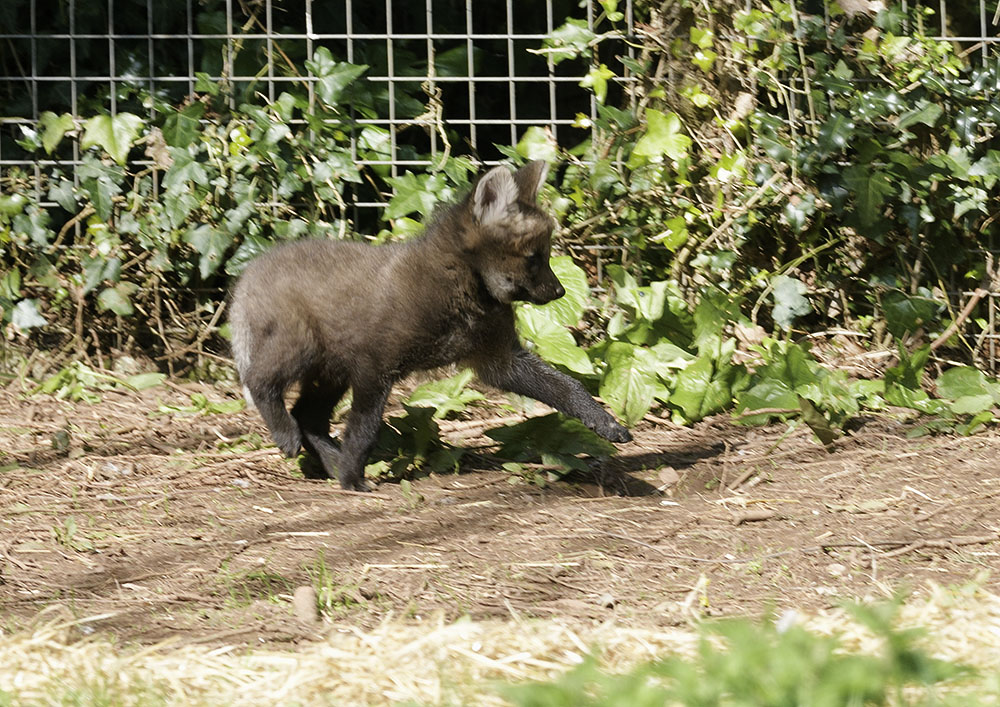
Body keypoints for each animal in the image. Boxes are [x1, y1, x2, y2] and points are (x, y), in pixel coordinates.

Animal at [229, 160, 630, 491]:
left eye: (545, 256)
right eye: (534, 258)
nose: (560, 291)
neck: (466, 290)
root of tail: (250, 271)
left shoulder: (499, 360)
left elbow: (568, 387)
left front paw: (606, 423)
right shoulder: (376, 365)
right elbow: (365, 429)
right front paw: (353, 478)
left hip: (331, 371)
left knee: (308, 417)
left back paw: (330, 462)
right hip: (304, 350)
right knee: (261, 382)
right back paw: (290, 438)